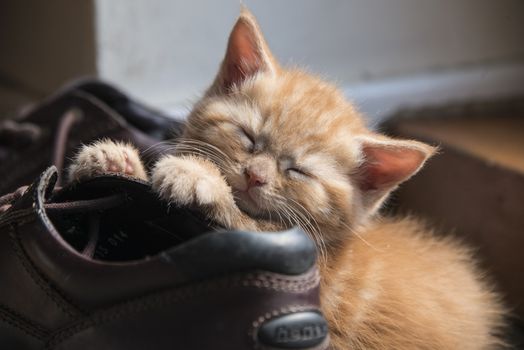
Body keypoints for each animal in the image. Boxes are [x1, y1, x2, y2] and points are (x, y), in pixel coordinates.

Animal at [69, 9, 504, 348]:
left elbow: (243, 221)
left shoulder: (303, 268)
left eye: (298, 171)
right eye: (248, 137)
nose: (255, 176)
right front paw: (114, 161)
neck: (333, 249)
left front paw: (195, 175)